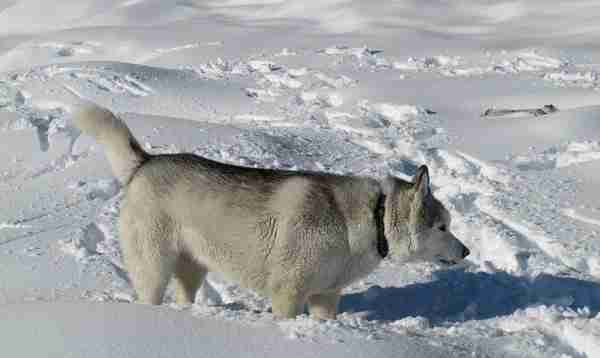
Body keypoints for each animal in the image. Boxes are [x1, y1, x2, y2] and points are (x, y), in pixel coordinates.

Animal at [74, 103, 468, 318]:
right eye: (443, 227)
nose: (466, 251)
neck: (374, 217)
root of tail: (146, 162)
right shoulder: (287, 295)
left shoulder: (325, 297)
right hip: (154, 269)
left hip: (193, 267)